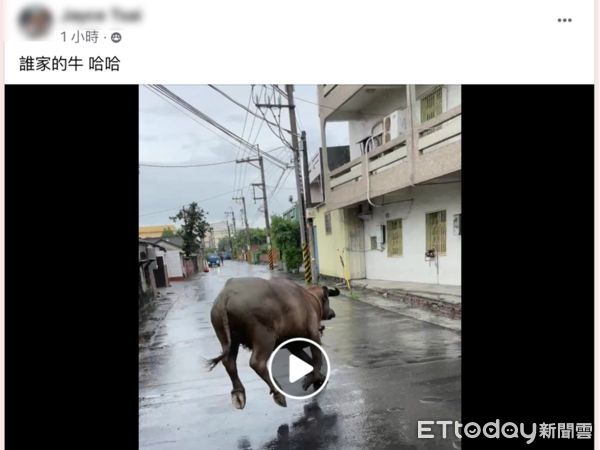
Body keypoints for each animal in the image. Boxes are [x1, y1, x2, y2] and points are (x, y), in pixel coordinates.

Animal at [205, 276, 338, 410]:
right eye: (327, 299)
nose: (332, 313)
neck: (311, 300)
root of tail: (227, 294)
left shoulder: (293, 346)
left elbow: (308, 361)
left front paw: (320, 379)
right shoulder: (314, 335)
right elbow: (317, 359)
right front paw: (312, 380)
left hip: (228, 339)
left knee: (229, 362)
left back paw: (238, 393)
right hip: (265, 337)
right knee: (257, 363)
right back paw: (278, 393)